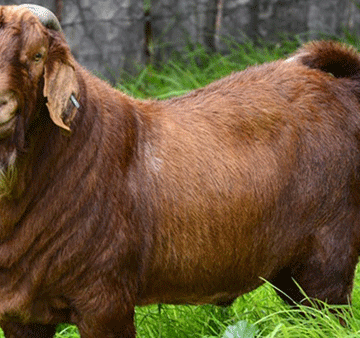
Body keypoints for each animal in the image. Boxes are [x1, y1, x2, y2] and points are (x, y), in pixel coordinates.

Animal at [0, 3, 360, 338]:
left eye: (37, 55)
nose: (3, 104)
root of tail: (343, 87)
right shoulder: (21, 314)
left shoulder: (105, 299)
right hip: (288, 271)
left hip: (328, 258)